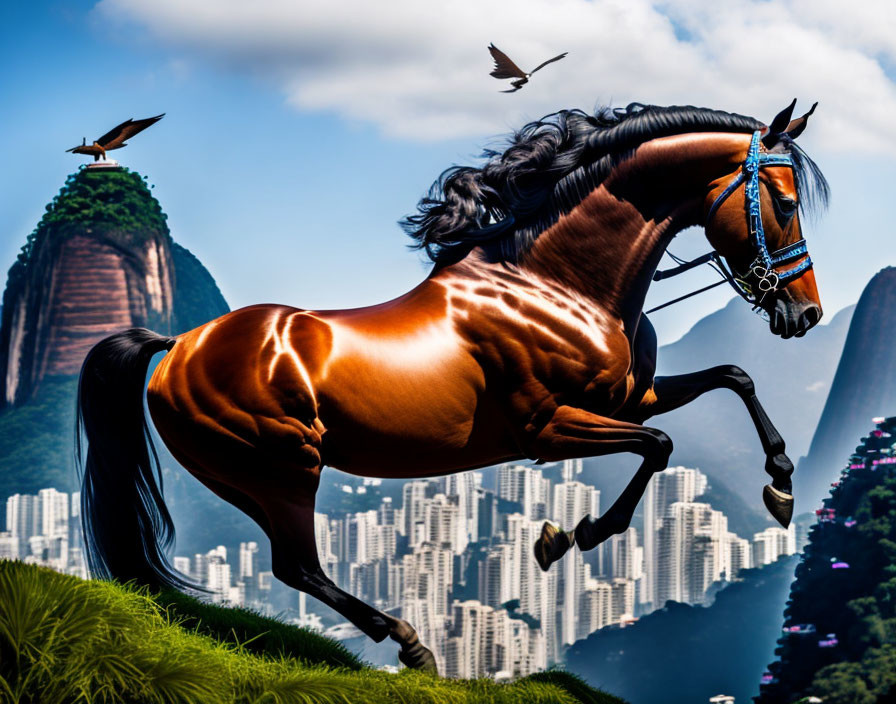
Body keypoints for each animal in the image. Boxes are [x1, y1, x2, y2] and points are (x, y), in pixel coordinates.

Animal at [75, 99, 824, 672]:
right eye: (785, 203)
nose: (805, 313)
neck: (557, 283)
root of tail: (178, 345)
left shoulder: (627, 398)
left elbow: (733, 378)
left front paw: (781, 485)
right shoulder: (548, 428)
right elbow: (659, 445)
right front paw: (571, 536)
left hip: (256, 472)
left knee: (296, 567)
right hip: (280, 466)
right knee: (296, 567)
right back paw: (412, 646)